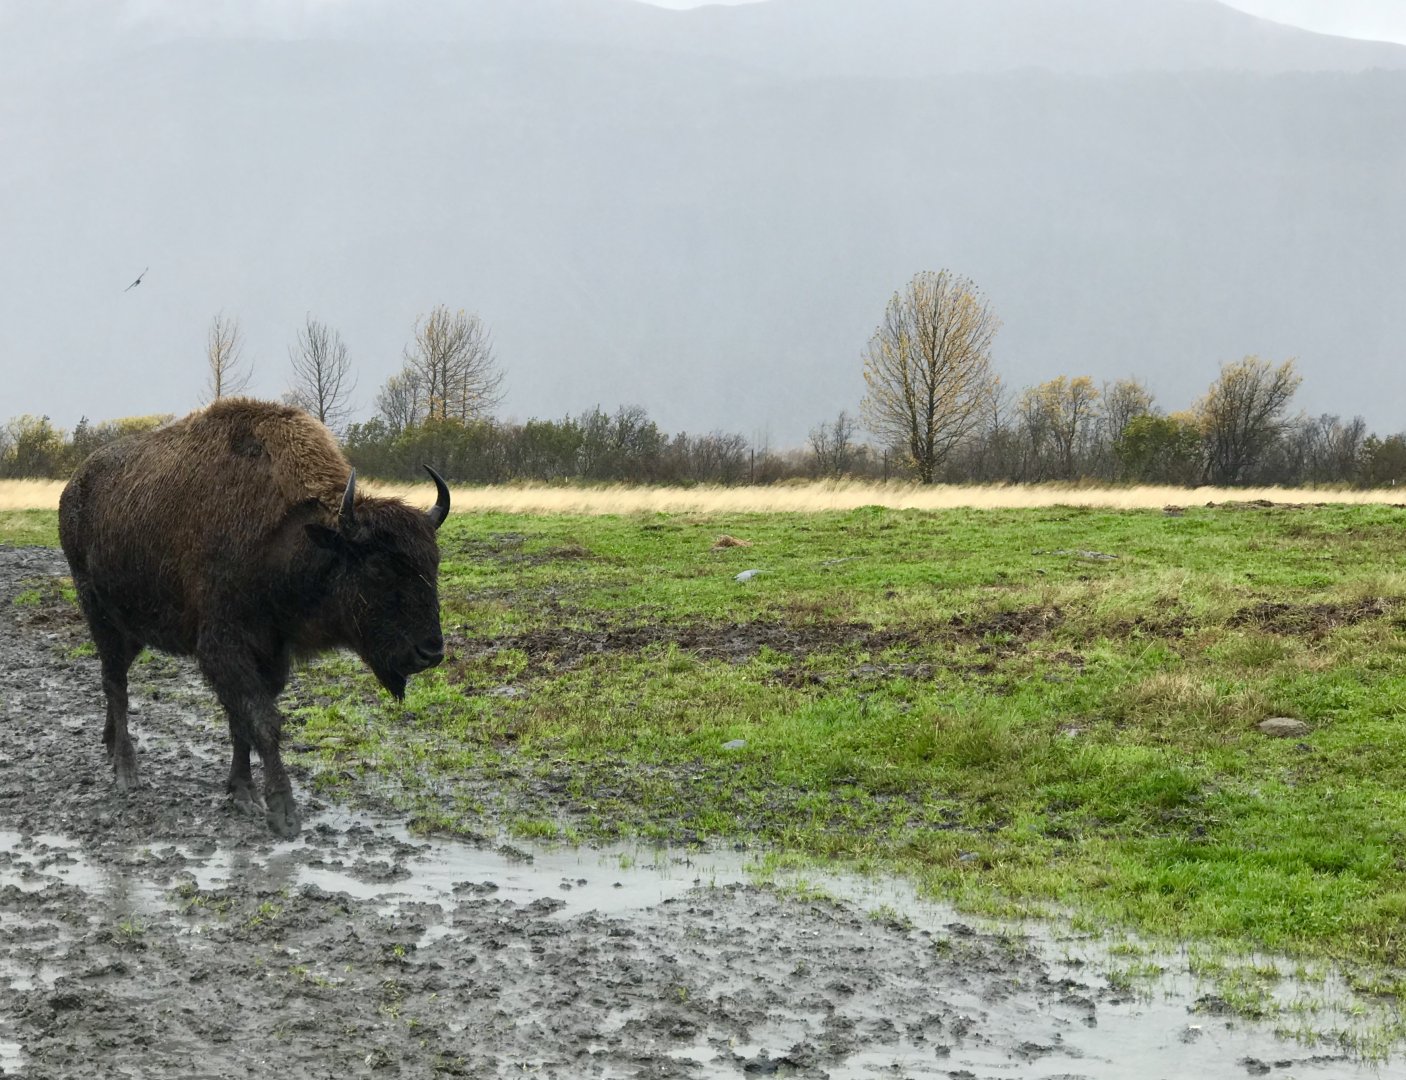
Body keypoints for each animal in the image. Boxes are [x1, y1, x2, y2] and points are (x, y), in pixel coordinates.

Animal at [59, 398, 449, 837]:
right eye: (378, 567)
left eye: (433, 563)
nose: (430, 652)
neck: (287, 539)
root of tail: (74, 487)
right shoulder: (224, 649)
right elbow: (262, 720)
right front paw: (283, 810)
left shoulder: (270, 653)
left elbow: (241, 722)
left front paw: (242, 791)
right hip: (100, 615)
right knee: (117, 685)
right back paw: (127, 771)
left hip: (133, 629)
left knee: (114, 679)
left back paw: (110, 746)